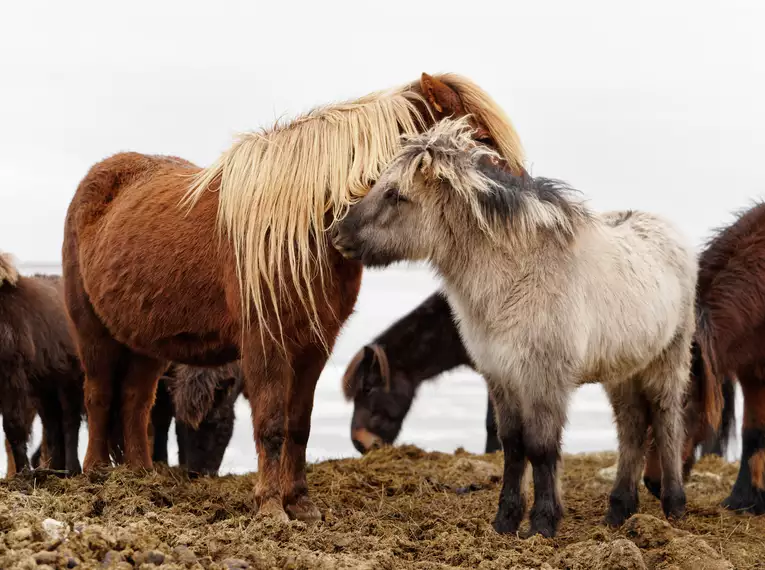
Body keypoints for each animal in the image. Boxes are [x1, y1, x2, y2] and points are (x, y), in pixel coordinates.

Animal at [0, 255, 84, 472]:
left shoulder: (12, 379)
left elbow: (14, 425)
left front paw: (23, 473)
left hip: (69, 380)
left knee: (69, 421)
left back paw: (71, 469)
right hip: (46, 385)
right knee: (53, 424)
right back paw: (56, 469)